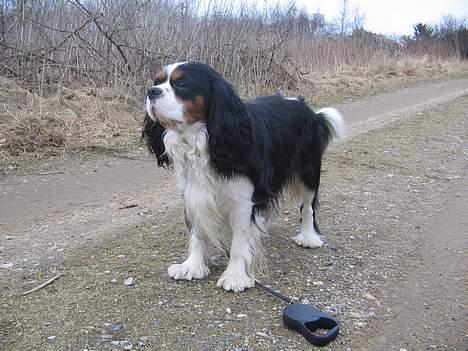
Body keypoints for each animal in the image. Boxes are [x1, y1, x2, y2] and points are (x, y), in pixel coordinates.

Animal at [143, 62, 344, 292]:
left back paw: (309, 237)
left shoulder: (243, 202)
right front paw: (192, 266)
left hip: (308, 173)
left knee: (308, 207)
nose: (151, 91)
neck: (199, 141)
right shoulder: (193, 193)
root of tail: (309, 110)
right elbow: (198, 232)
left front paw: (236, 276)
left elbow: (240, 241)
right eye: (157, 81)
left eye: (182, 84)